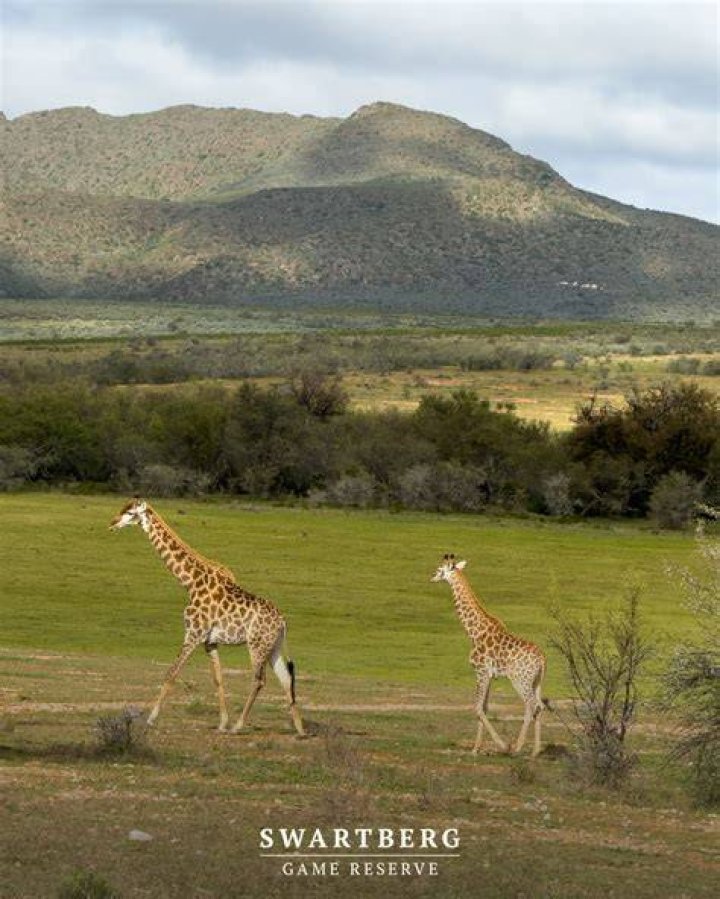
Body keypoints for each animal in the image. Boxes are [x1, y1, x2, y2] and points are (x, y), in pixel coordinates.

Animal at [109, 498, 305, 737]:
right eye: (122, 508)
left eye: (130, 513)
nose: (112, 523)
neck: (190, 582)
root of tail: (283, 623)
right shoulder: (209, 641)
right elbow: (218, 679)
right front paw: (222, 723)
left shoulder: (193, 633)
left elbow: (172, 673)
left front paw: (151, 718)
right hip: (273, 646)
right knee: (286, 679)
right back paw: (300, 729)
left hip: (256, 645)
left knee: (260, 680)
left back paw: (239, 726)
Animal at [431, 554, 546, 756]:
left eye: (439, 570)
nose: (432, 577)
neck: (474, 632)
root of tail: (542, 660)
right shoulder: (490, 675)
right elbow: (484, 707)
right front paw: (476, 748)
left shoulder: (480, 671)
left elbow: (477, 707)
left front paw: (502, 746)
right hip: (537, 681)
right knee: (539, 706)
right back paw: (535, 751)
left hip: (519, 679)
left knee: (531, 704)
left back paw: (517, 748)